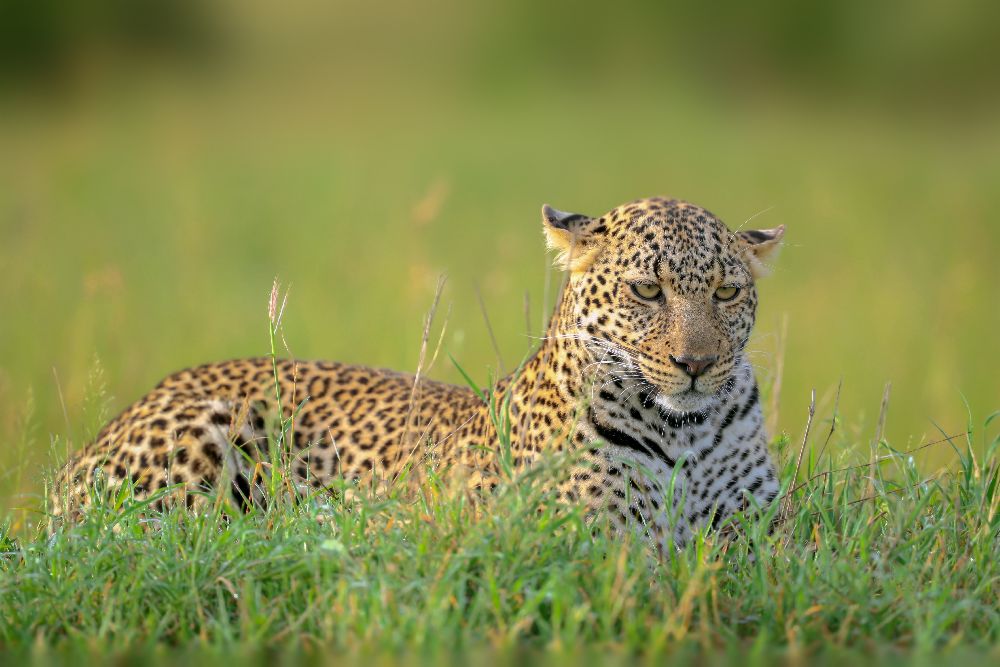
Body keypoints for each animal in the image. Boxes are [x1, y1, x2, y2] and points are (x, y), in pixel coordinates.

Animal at [50, 196, 785, 550]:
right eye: (646, 291)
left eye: (726, 293)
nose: (697, 364)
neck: (688, 432)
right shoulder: (606, 541)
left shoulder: (764, 536)